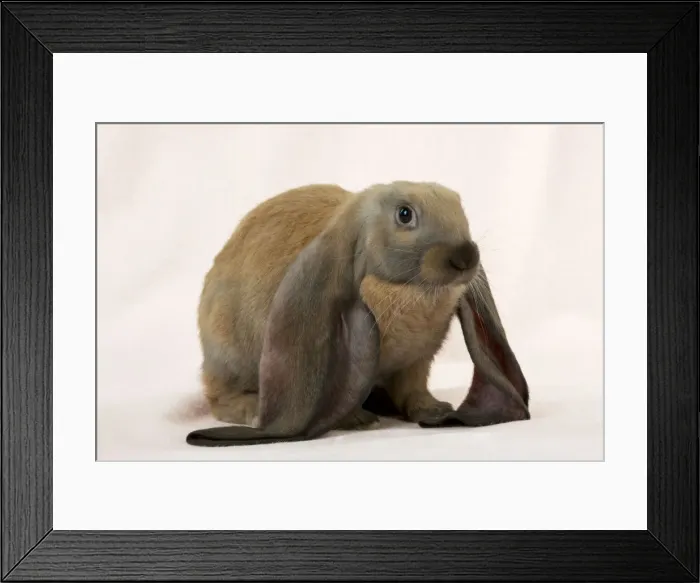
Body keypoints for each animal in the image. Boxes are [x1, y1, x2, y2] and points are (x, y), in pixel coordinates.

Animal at [187, 181, 529, 446]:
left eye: (460, 206)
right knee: (218, 395)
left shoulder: (417, 362)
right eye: (405, 214)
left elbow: (414, 389)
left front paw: (434, 410)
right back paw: (253, 408)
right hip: (230, 357)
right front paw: (359, 420)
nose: (466, 256)